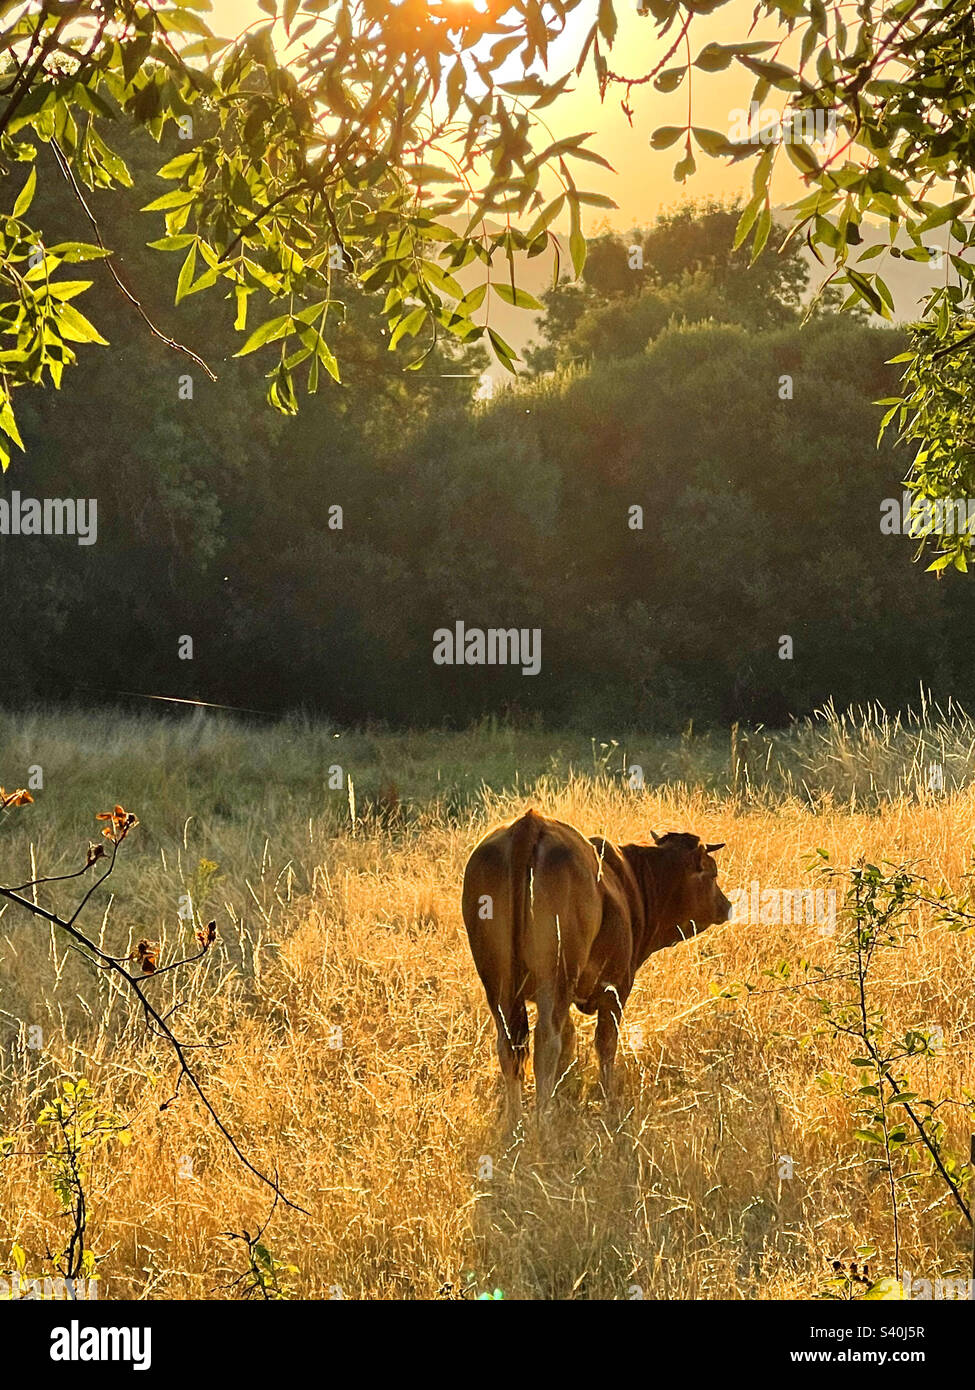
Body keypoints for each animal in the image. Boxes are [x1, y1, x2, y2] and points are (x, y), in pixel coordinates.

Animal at [461, 808, 730, 1124]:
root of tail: (529, 824)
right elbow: (605, 1043)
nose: (726, 905)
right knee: (546, 1044)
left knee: (510, 1047)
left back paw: (514, 1122)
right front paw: (608, 1099)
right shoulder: (616, 988)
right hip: (555, 979)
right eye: (712, 873)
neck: (631, 883)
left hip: (498, 983)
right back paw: (543, 1121)